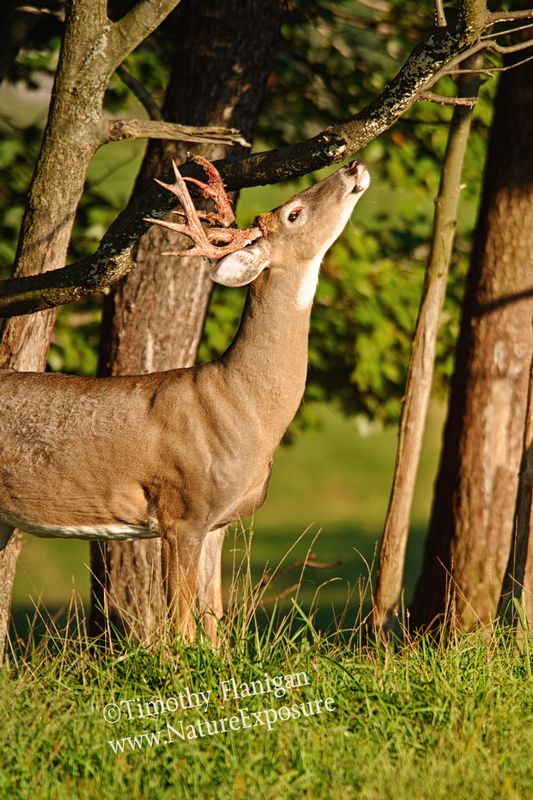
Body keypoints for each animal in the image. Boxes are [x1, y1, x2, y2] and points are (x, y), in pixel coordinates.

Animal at [0, 156, 370, 640]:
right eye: (293, 213)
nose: (354, 166)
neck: (242, 404)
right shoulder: (182, 512)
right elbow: (182, 628)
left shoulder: (217, 523)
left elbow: (214, 629)